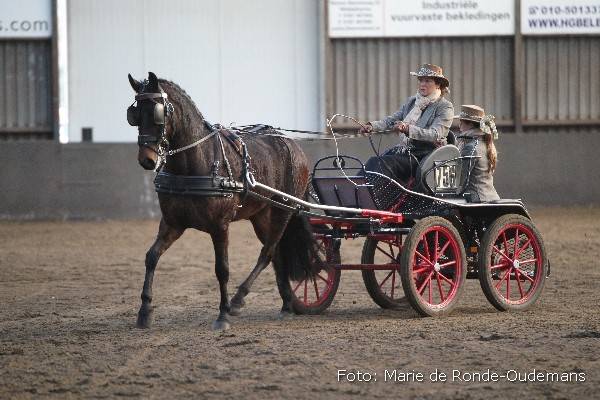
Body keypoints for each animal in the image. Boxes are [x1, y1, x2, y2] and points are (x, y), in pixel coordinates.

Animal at [127, 72, 317, 330]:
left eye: (157, 112)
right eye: (134, 114)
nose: (146, 159)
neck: (195, 163)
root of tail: (293, 145)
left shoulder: (220, 226)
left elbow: (222, 269)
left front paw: (223, 315)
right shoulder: (173, 224)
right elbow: (151, 257)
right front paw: (145, 311)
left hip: (283, 210)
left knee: (268, 252)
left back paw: (238, 300)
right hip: (260, 214)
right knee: (276, 253)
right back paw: (286, 304)